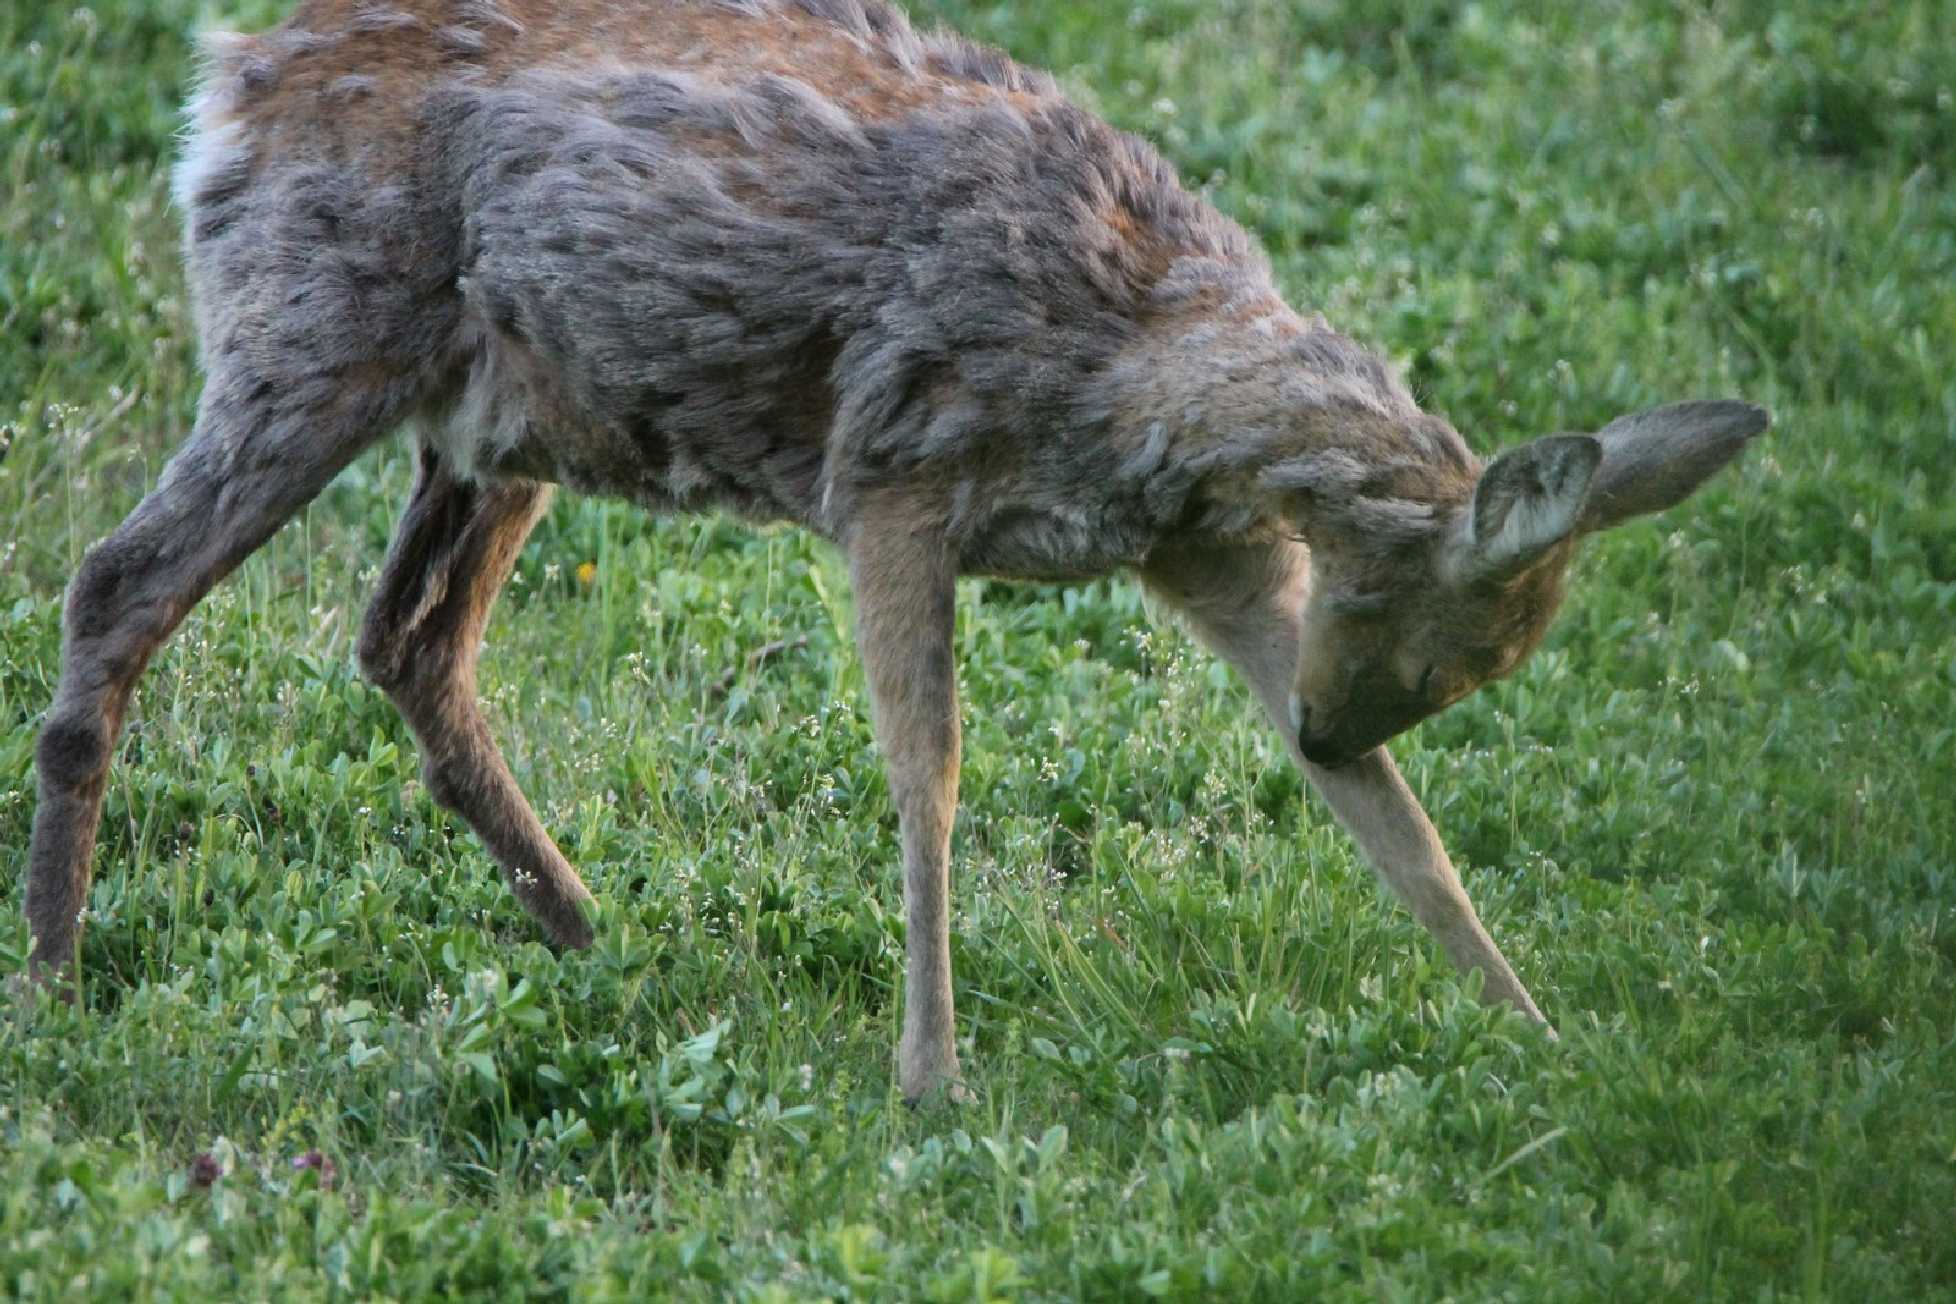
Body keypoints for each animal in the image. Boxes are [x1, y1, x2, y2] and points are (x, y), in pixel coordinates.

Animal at [26, 0, 1776, 1102]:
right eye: (1439, 632)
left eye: (1485, 664)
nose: (1335, 720)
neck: (1134, 363)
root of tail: (225, 79)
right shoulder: (893, 472)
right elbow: (926, 771)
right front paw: (930, 1080)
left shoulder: (1205, 550)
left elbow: (1399, 831)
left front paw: (1533, 1030)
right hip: (310, 328)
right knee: (119, 578)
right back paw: (55, 976)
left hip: (499, 415)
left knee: (408, 639)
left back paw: (598, 940)